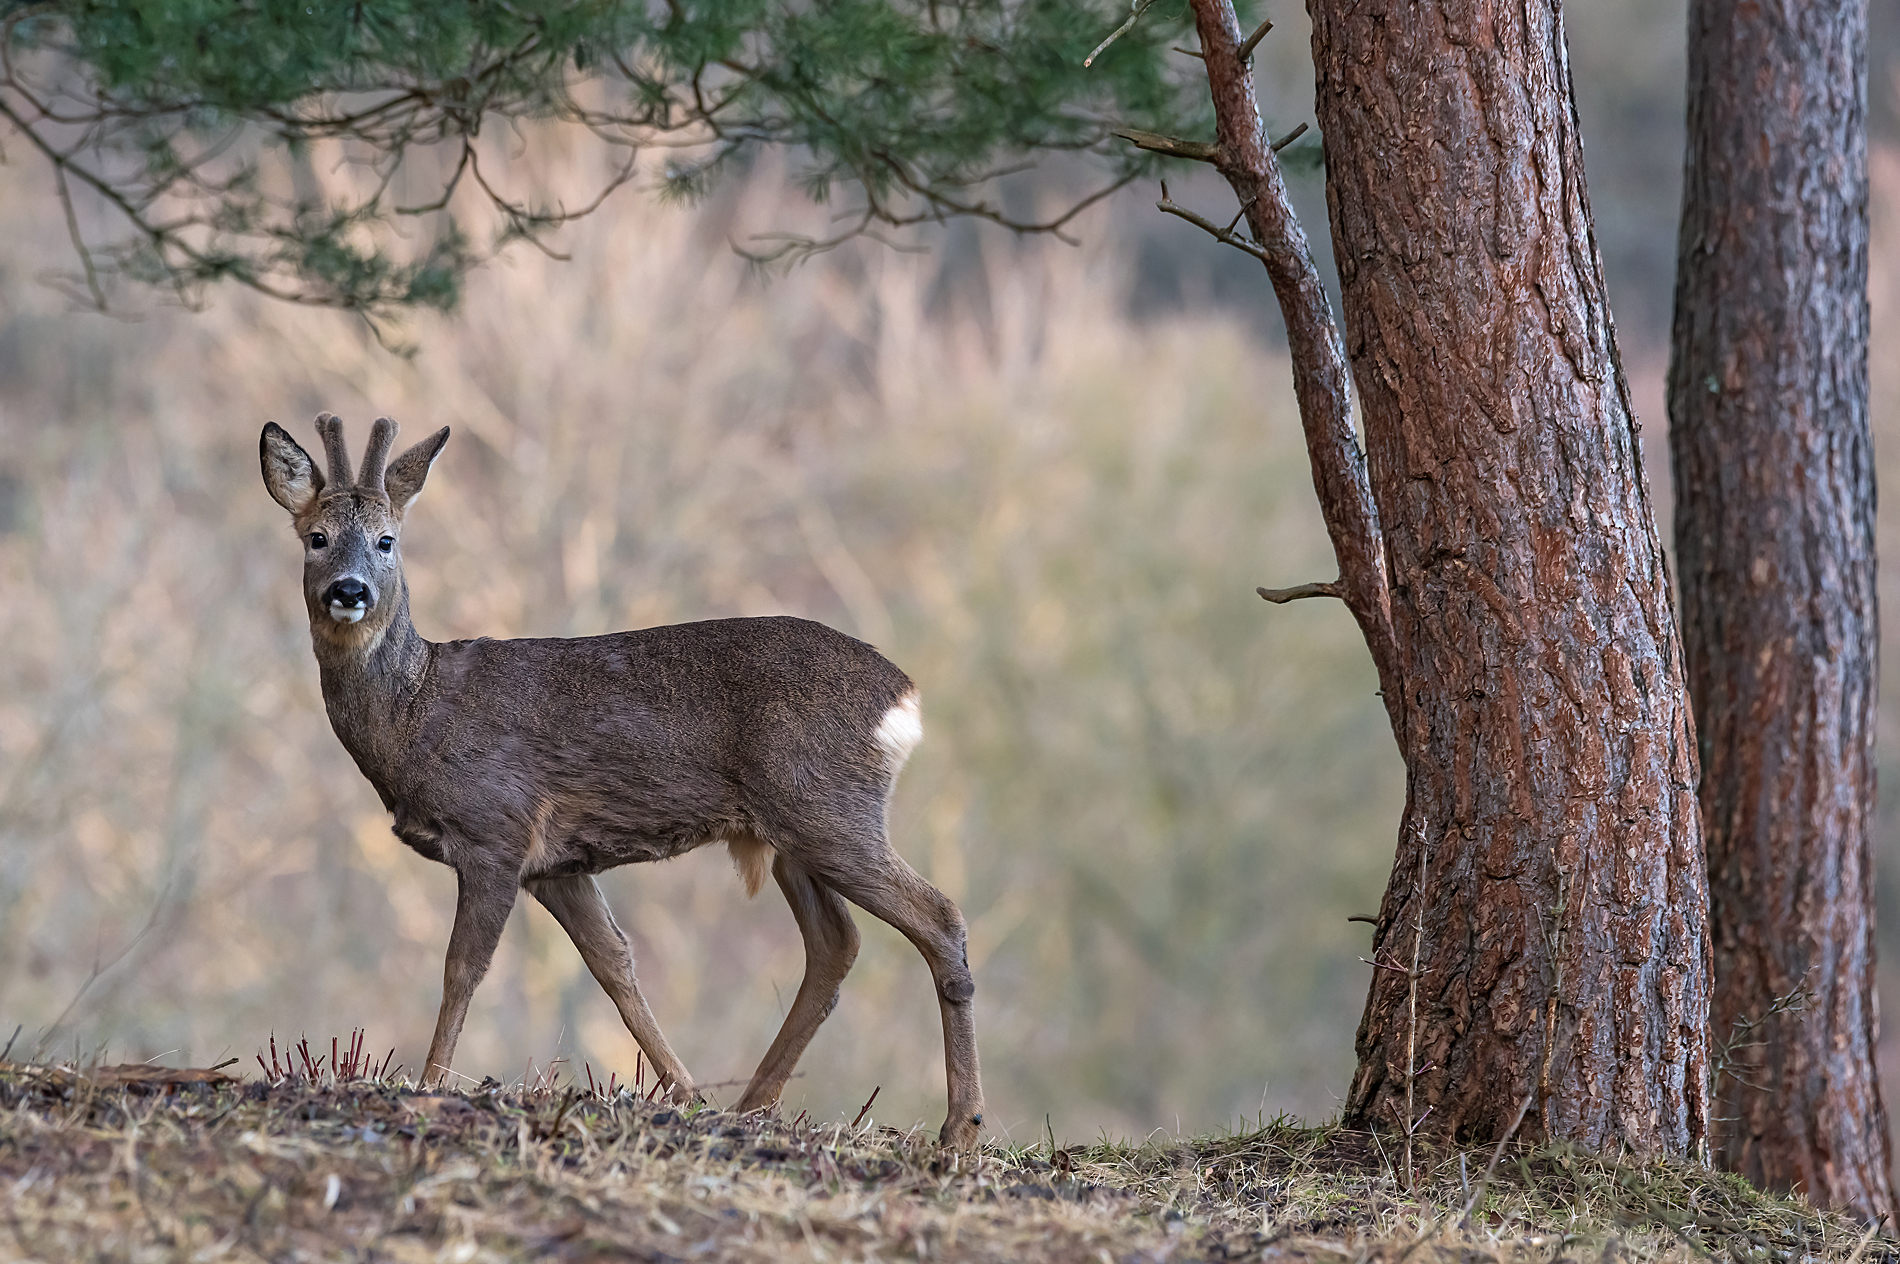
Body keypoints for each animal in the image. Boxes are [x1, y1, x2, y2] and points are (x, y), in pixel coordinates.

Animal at [258, 412, 988, 1140]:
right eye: (317, 538)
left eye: (387, 540)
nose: (349, 591)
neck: (415, 713)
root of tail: (904, 696)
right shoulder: (555, 865)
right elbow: (614, 964)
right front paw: (686, 1091)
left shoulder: (496, 829)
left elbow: (462, 968)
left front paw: (430, 1081)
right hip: (792, 832)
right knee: (836, 943)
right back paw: (753, 1104)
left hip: (827, 807)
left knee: (939, 916)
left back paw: (961, 1128)